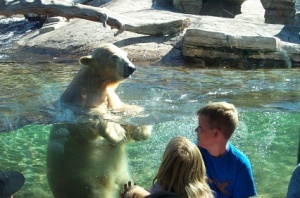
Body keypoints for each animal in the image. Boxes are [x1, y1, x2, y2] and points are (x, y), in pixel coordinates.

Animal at [47, 43, 152, 198]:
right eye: (114, 56)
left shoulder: (111, 100)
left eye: (126, 54)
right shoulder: (75, 113)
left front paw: (141, 130)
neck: (92, 88)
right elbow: (87, 127)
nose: (131, 68)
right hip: (85, 184)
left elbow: (125, 111)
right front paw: (117, 133)